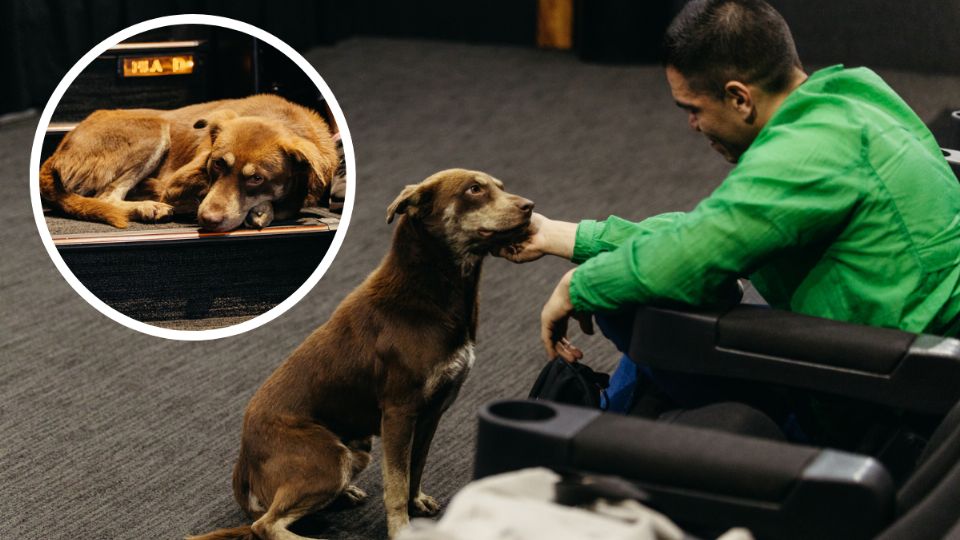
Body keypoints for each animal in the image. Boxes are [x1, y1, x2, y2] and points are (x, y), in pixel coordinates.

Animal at [39, 94, 340, 231]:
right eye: (217, 164)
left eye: (257, 178)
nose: (208, 220)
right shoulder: (176, 182)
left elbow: (286, 204)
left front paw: (263, 210)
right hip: (154, 129)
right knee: (107, 196)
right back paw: (149, 206)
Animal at [186, 170, 532, 540]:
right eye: (474, 190)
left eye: (500, 187)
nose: (529, 206)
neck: (432, 292)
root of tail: (244, 462)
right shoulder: (398, 413)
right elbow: (395, 484)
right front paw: (401, 528)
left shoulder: (431, 412)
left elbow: (415, 468)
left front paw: (417, 503)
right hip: (329, 458)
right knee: (266, 525)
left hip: (357, 449)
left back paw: (345, 494)